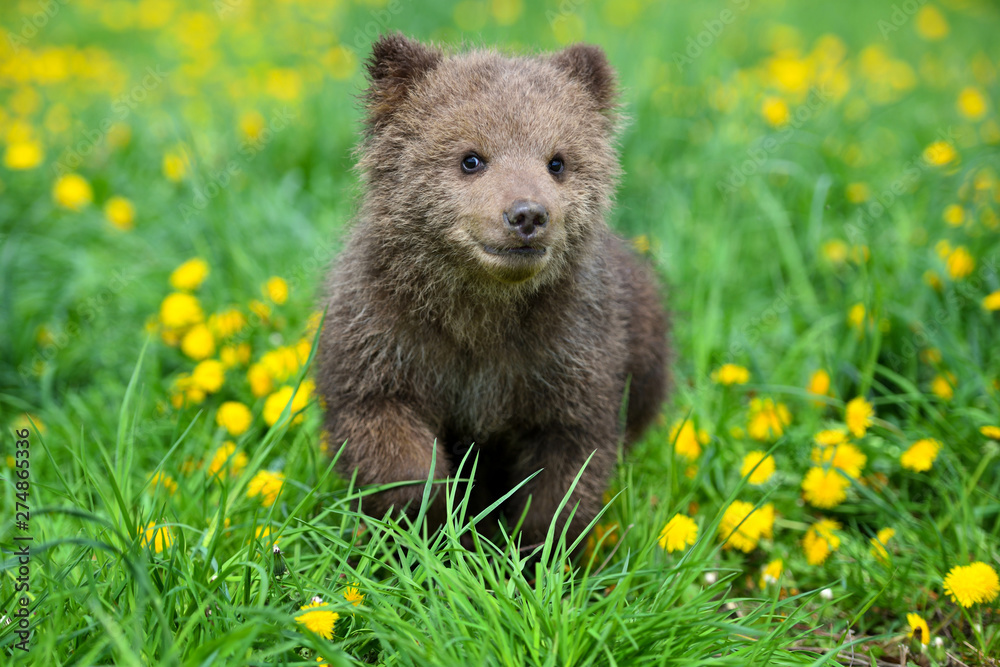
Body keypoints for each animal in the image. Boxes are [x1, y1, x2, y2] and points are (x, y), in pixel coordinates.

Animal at [316, 33, 669, 552]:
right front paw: (432, 524)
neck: (481, 314)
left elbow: (565, 475)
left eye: (557, 161)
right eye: (471, 158)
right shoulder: (381, 341)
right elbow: (389, 443)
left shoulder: (570, 358)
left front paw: (532, 550)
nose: (527, 214)